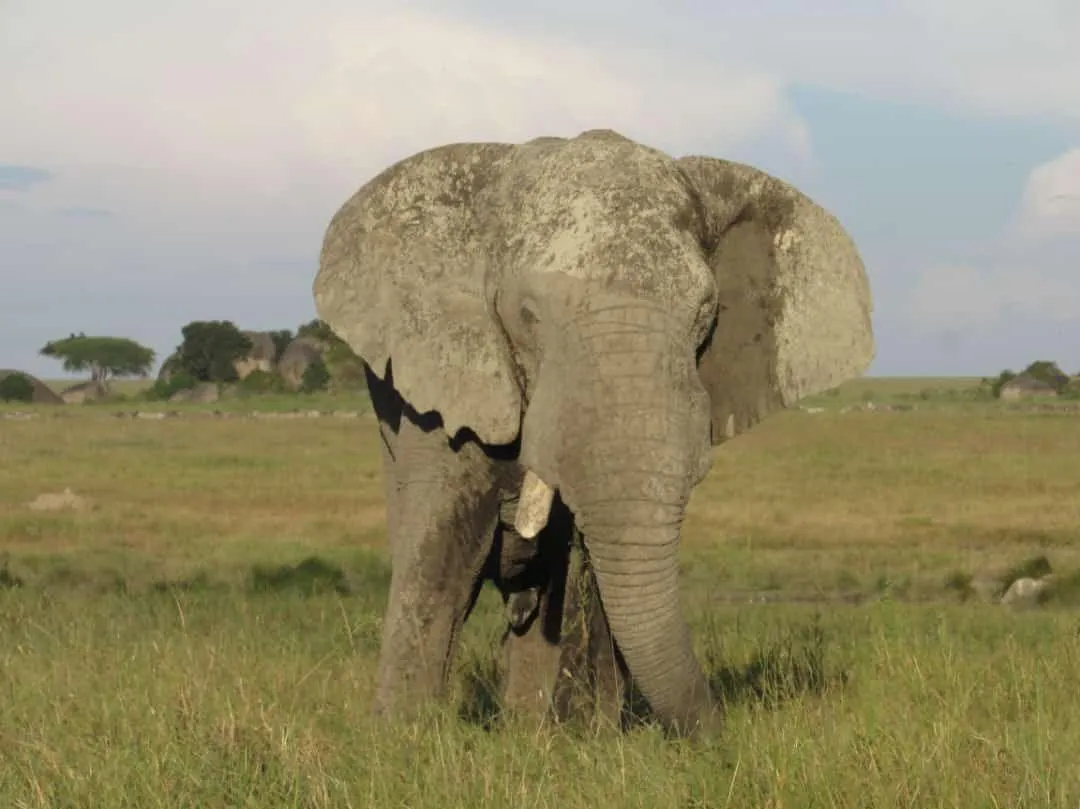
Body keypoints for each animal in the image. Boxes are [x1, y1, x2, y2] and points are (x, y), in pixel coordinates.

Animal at [313, 128, 874, 738]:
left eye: (706, 313)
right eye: (527, 315)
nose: (721, 734)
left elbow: (592, 567)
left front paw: (585, 740)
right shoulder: (446, 379)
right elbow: (442, 548)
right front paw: (401, 741)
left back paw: (528, 729)